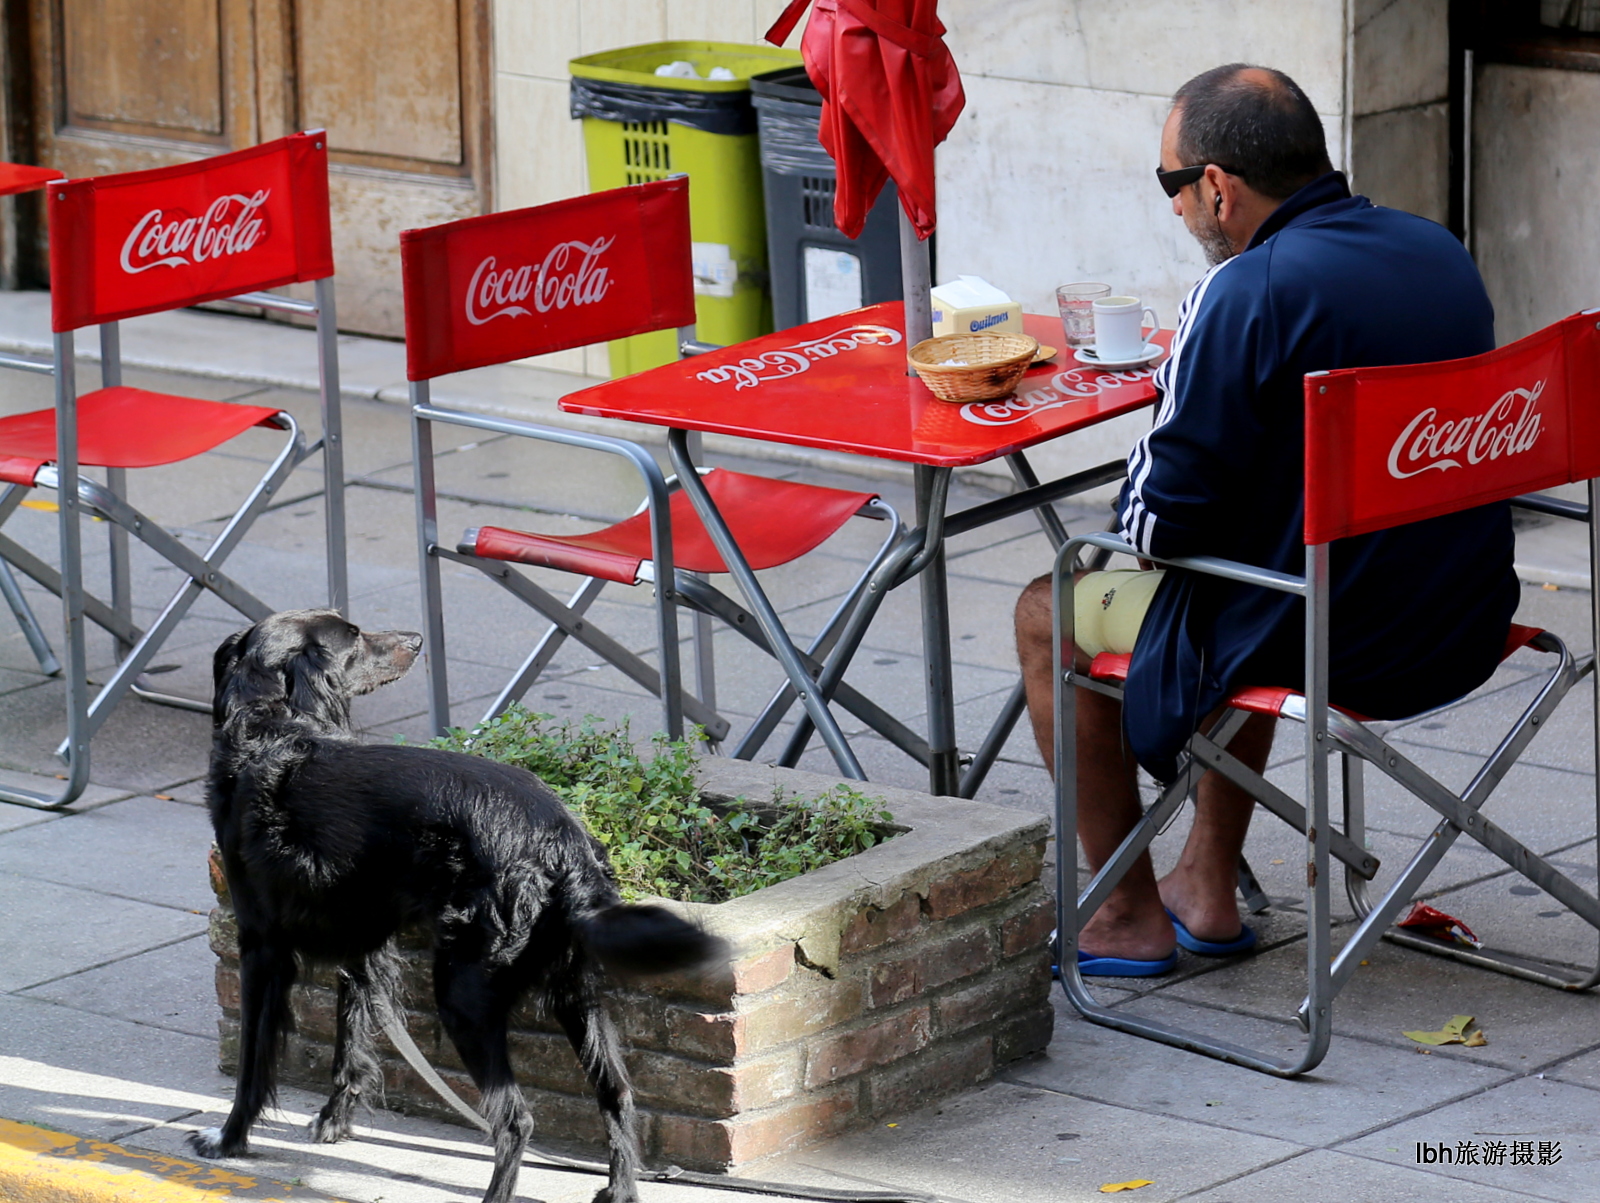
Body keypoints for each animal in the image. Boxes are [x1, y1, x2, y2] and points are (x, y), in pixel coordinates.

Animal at [190, 614, 729, 1196]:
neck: (270, 725)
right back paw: (620, 1189)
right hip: (574, 992)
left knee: (516, 1119)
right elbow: (350, 1043)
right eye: (355, 638)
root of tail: (561, 842)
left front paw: (228, 1139)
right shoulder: (362, 946)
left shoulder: (261, 946)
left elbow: (252, 1061)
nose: (415, 640)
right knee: (618, 1094)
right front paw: (334, 1122)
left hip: (463, 993)